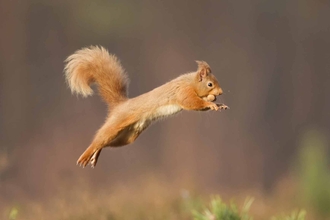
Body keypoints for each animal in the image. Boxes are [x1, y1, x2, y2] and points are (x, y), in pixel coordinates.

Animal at [65, 45, 228, 168]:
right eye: (210, 84)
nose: (221, 92)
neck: (190, 82)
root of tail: (120, 105)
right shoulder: (183, 92)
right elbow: (193, 103)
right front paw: (211, 103)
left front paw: (219, 104)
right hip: (115, 125)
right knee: (99, 139)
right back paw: (86, 155)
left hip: (127, 137)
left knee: (106, 144)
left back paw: (95, 155)